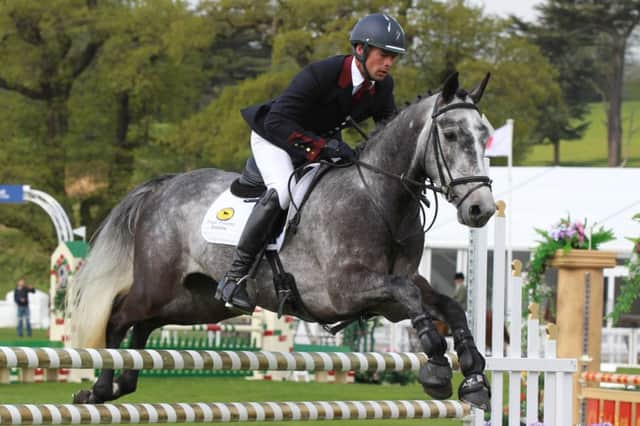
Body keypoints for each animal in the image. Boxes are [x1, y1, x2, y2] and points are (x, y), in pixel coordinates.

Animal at [71, 71, 500, 408]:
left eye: (486, 135)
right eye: (450, 134)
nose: (481, 209)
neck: (380, 197)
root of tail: (161, 188)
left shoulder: (389, 299)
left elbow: (446, 305)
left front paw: (474, 377)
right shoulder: (345, 290)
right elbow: (412, 298)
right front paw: (438, 369)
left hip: (195, 301)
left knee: (145, 324)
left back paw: (123, 382)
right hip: (157, 285)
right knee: (120, 317)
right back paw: (101, 387)